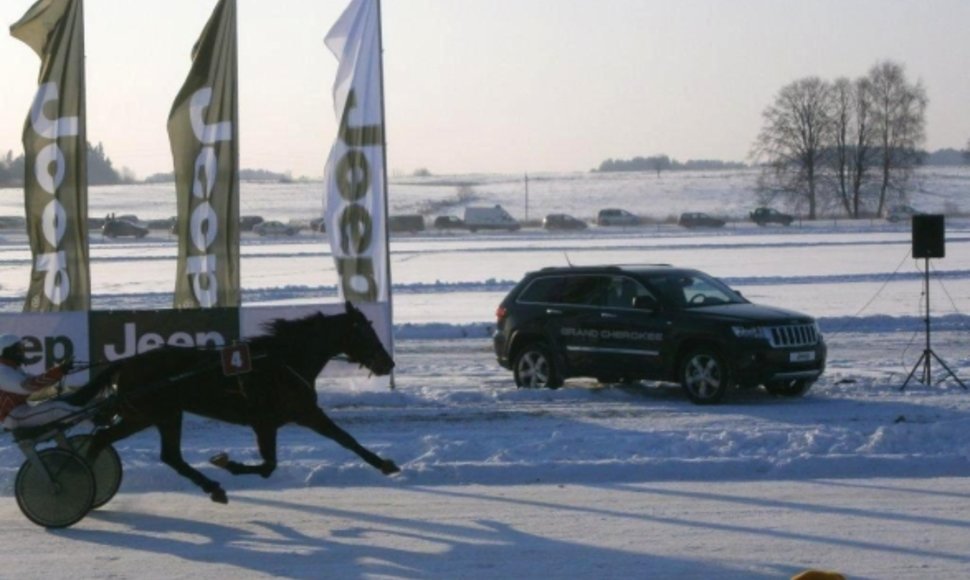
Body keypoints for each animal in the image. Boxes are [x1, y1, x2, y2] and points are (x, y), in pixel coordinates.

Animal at [72, 302, 398, 506]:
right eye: (365, 332)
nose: (388, 363)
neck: (283, 360)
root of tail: (127, 363)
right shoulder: (274, 421)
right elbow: (269, 465)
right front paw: (226, 463)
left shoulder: (296, 416)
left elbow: (344, 439)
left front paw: (385, 464)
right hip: (146, 414)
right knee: (102, 439)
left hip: (165, 414)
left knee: (169, 455)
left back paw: (213, 488)